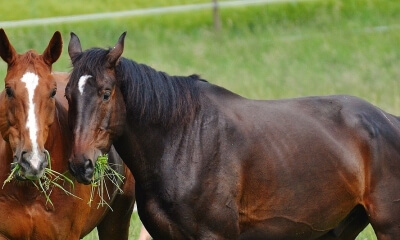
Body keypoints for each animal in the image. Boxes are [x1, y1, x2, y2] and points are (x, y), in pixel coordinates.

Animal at [65, 32, 400, 240]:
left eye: (106, 93)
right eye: (67, 95)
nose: (81, 164)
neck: (183, 141)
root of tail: (388, 120)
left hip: (388, 226)